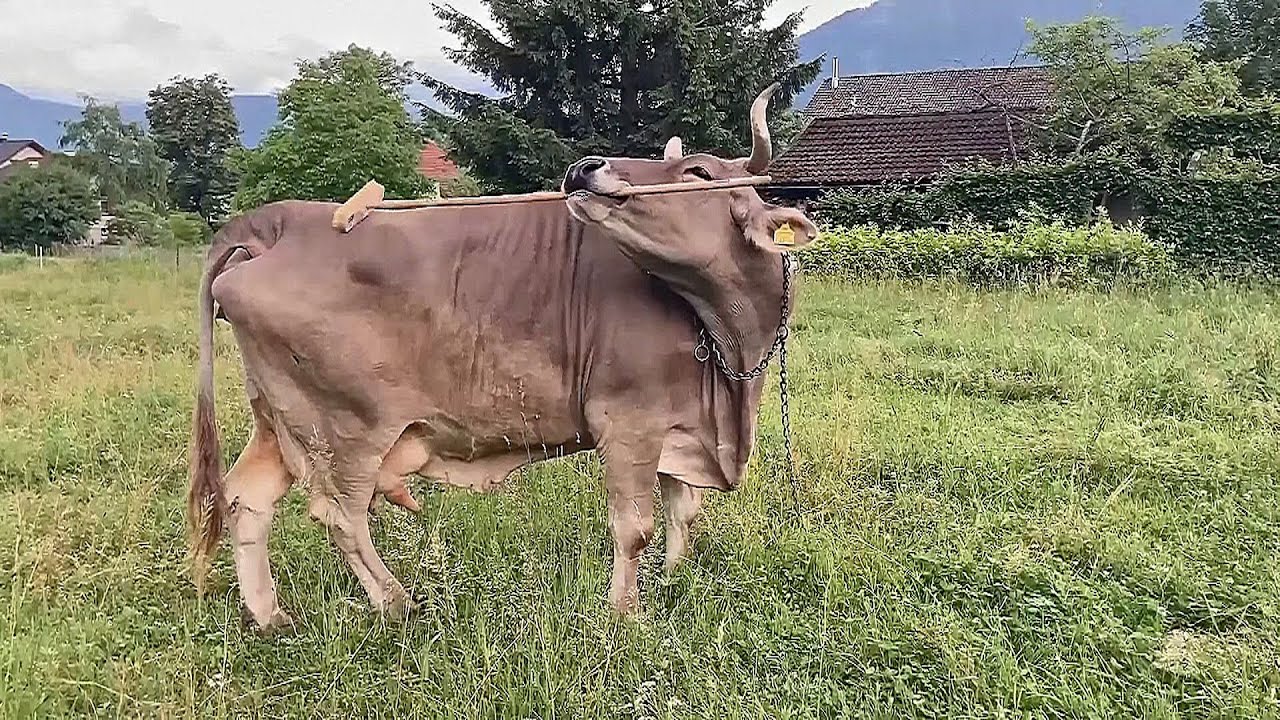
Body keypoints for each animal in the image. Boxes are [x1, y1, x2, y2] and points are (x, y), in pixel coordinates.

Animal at [187, 84, 820, 633]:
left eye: (698, 172)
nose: (585, 168)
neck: (728, 347)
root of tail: (283, 219)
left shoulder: (679, 425)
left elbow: (681, 511)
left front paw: (673, 579)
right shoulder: (628, 421)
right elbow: (634, 526)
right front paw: (627, 614)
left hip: (279, 418)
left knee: (247, 497)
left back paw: (270, 615)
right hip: (345, 428)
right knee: (340, 513)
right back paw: (396, 603)